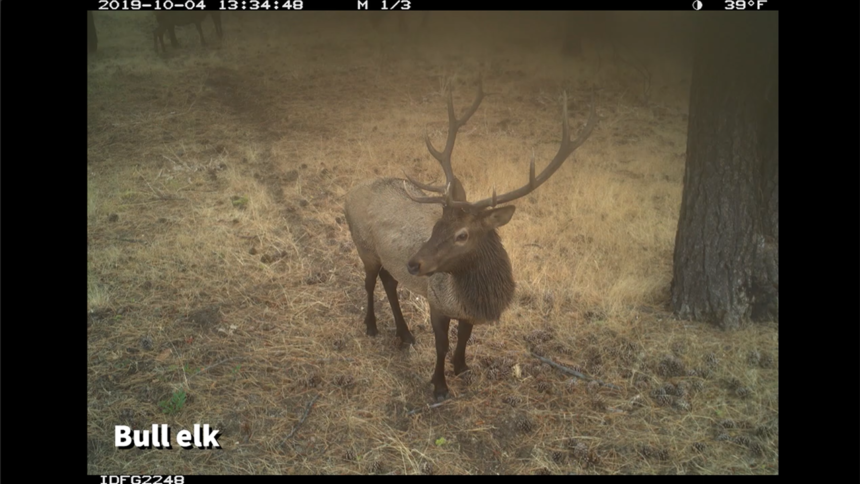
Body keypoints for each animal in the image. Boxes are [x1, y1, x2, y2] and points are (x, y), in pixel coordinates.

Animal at [344, 78, 597, 401]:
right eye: (437, 224)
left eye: (462, 234)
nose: (414, 263)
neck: (475, 298)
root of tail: (350, 192)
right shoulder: (437, 301)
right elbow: (441, 344)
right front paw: (439, 386)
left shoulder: (467, 313)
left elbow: (465, 336)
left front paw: (462, 367)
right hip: (364, 247)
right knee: (369, 282)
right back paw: (372, 326)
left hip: (387, 259)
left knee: (389, 281)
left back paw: (405, 334)